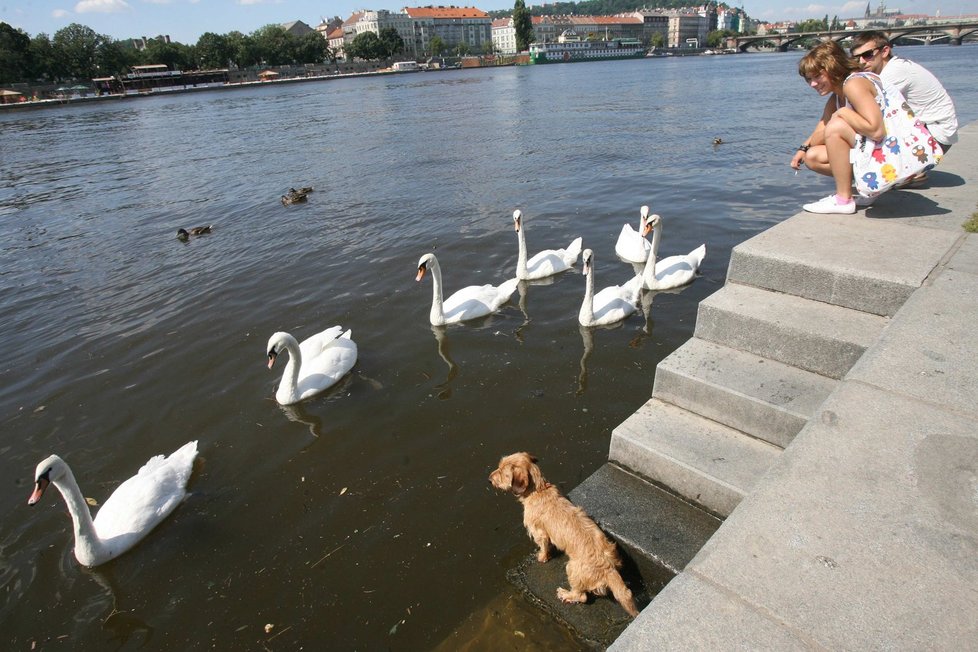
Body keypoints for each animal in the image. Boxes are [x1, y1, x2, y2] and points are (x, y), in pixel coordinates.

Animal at [488, 450, 640, 620]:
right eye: (499, 466)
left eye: (503, 472)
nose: (489, 479)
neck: (539, 490)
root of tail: (609, 568)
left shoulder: (539, 532)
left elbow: (543, 546)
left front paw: (542, 557)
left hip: (571, 568)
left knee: (582, 596)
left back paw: (566, 594)